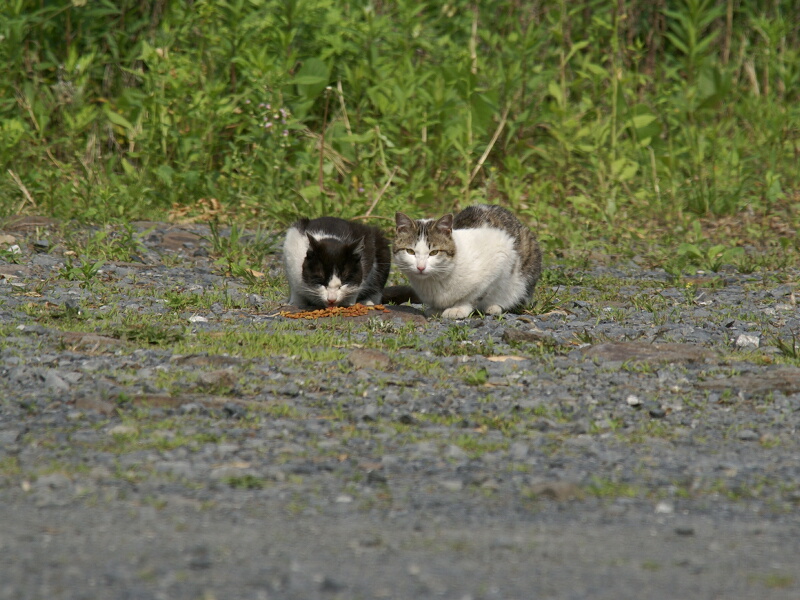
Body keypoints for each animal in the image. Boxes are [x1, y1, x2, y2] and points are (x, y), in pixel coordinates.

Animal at [393, 204, 542, 318]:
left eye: (434, 252)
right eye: (410, 251)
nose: (420, 267)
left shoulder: (499, 258)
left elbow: (473, 296)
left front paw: (458, 309)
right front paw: (437, 309)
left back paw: (494, 307)